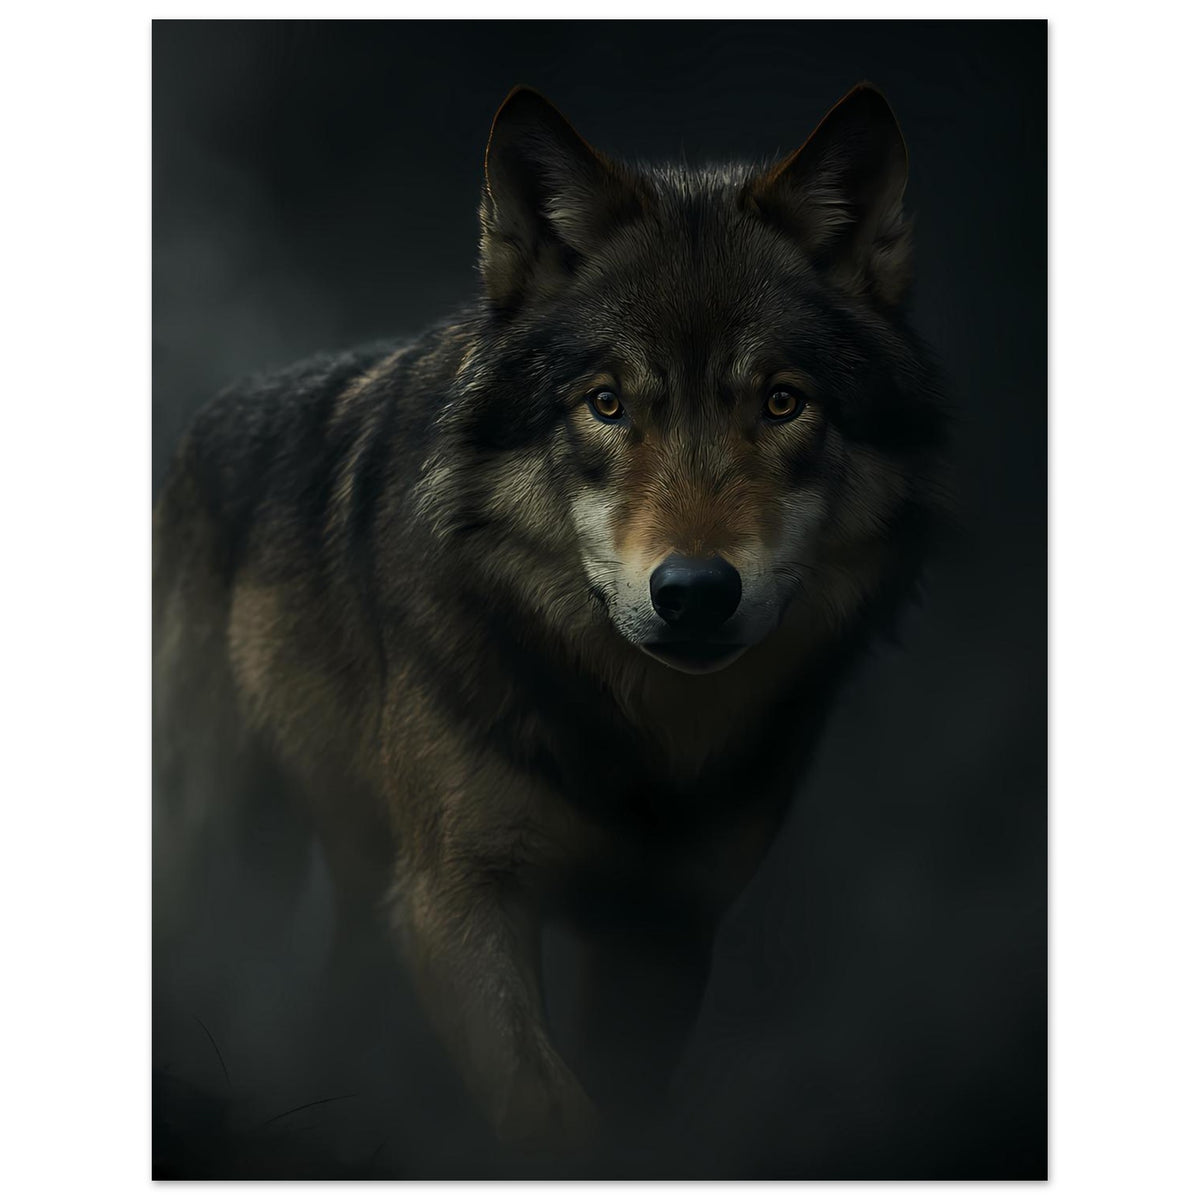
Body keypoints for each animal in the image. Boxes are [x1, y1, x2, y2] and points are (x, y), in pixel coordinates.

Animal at [153, 83, 949, 1157]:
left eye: (783, 403)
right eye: (606, 404)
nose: (694, 590)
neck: (633, 736)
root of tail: (210, 414)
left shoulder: (665, 931)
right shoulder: (456, 898)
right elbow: (546, 1109)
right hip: (220, 838)